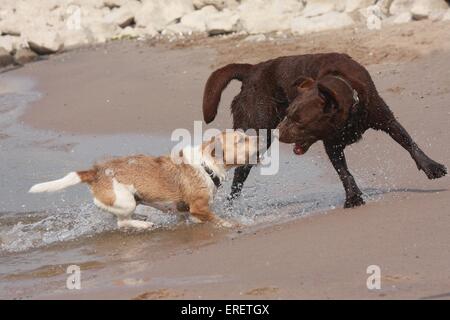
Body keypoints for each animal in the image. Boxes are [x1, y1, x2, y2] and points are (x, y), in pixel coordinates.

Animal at [29, 130, 256, 230]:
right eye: (240, 140)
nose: (260, 137)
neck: (205, 165)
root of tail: (96, 172)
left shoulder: (185, 210)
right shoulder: (199, 208)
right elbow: (218, 219)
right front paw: (232, 223)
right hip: (126, 200)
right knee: (122, 222)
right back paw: (144, 224)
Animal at [203, 52, 446, 208]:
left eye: (299, 121)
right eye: (288, 113)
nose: (280, 132)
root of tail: (251, 69)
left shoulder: (384, 117)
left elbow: (408, 141)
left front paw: (432, 167)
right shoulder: (332, 143)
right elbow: (343, 171)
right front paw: (353, 198)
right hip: (257, 129)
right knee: (240, 173)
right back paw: (232, 206)